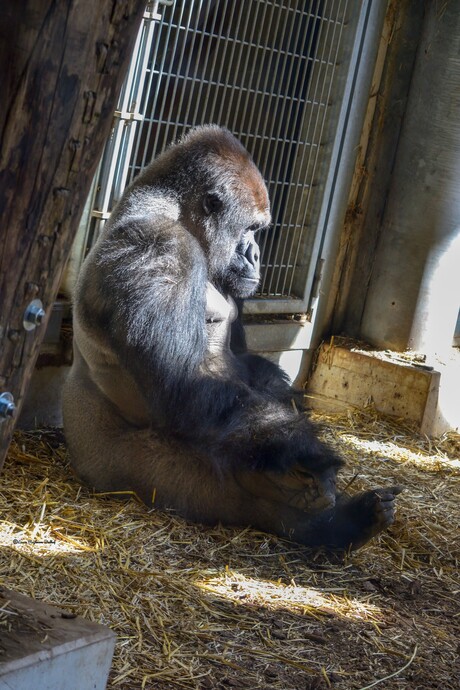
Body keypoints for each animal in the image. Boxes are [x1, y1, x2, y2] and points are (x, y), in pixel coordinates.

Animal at [62, 125, 401, 551]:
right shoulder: (157, 248)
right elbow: (182, 386)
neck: (172, 212)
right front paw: (300, 446)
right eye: (252, 229)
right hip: (132, 472)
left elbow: (248, 364)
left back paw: (339, 522)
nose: (256, 254)